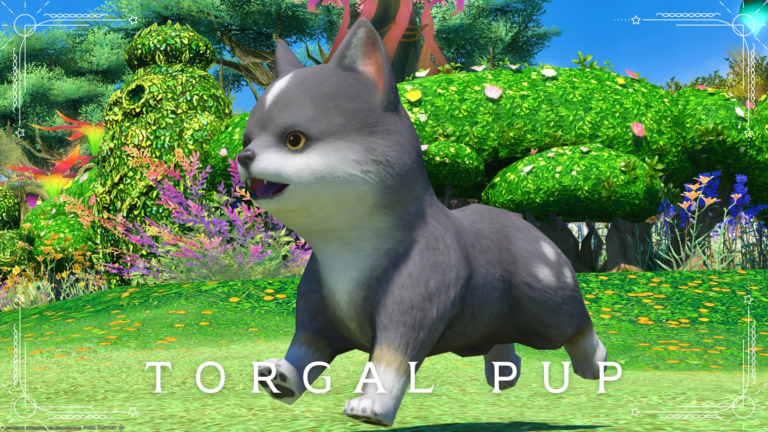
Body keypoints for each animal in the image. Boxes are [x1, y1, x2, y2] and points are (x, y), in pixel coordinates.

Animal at [237, 17, 607, 428]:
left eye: (294, 140)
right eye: (248, 138)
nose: (243, 156)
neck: (348, 251)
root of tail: (520, 223)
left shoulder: (416, 296)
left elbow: (391, 360)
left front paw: (372, 405)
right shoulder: (318, 310)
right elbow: (305, 350)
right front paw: (283, 377)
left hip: (544, 305)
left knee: (576, 324)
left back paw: (594, 361)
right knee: (503, 339)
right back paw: (503, 371)